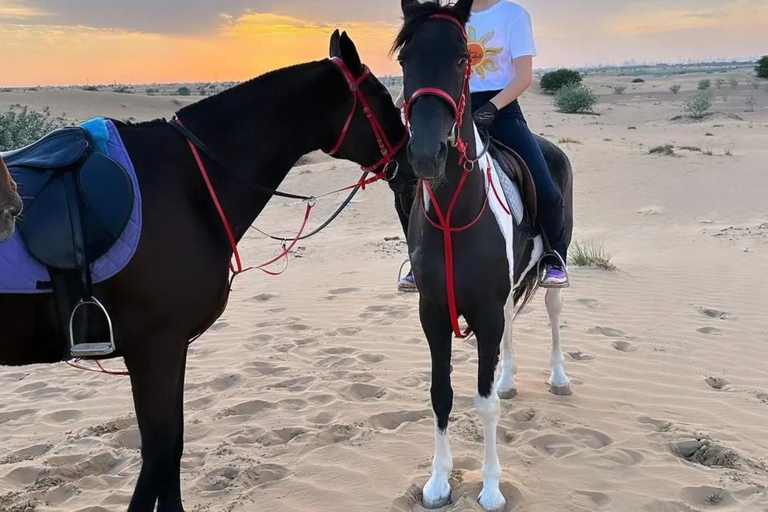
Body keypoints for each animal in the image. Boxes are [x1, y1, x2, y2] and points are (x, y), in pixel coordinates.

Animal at [0, 31, 408, 512]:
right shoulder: (155, 348)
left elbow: (171, 448)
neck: (187, 183)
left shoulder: (172, 347)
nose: (420, 158)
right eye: (382, 96)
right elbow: (161, 449)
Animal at [394, 0, 574, 509]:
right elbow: (441, 394)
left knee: (553, 309)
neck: (455, 213)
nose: (426, 155)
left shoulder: (486, 315)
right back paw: (511, 377)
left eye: (461, 59)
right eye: (404, 60)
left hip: (553, 266)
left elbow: (484, 401)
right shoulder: (434, 313)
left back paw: (557, 377)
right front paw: (438, 481)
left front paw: (491, 487)